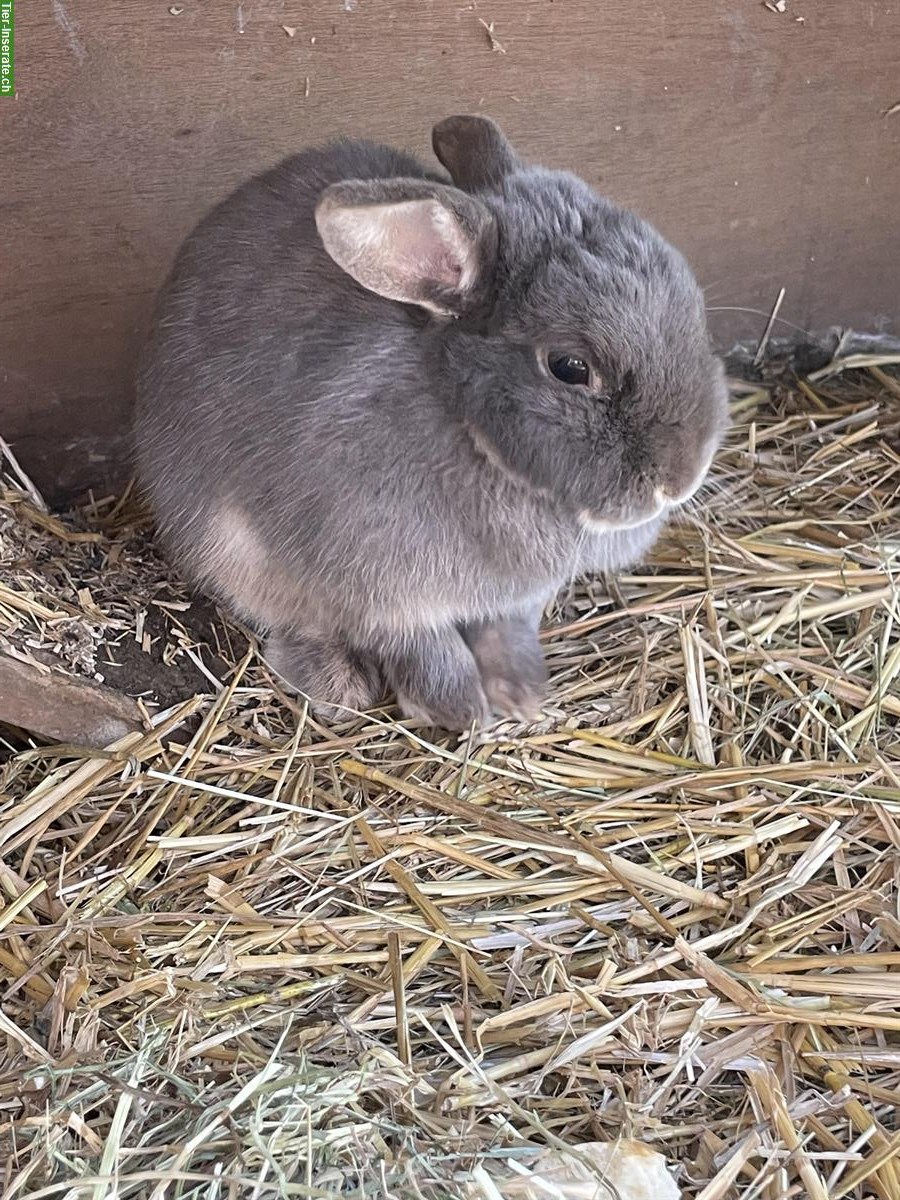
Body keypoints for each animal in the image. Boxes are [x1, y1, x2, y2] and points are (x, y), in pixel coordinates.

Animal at [133, 114, 729, 729]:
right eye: (570, 367)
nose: (682, 477)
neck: (470, 429)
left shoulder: (512, 599)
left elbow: (505, 629)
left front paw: (522, 693)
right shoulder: (381, 588)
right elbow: (422, 644)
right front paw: (460, 707)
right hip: (229, 550)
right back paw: (337, 683)